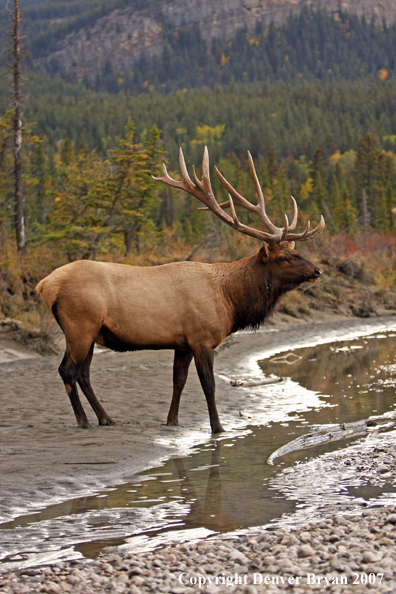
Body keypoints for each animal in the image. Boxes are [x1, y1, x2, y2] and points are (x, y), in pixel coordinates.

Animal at [35, 147, 324, 434]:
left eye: (296, 251)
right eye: (284, 257)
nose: (317, 270)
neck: (229, 300)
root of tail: (44, 285)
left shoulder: (183, 342)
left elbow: (179, 381)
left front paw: (172, 420)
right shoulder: (202, 338)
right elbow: (209, 385)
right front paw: (218, 428)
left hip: (93, 332)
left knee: (83, 374)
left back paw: (106, 418)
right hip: (80, 326)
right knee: (67, 370)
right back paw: (83, 420)